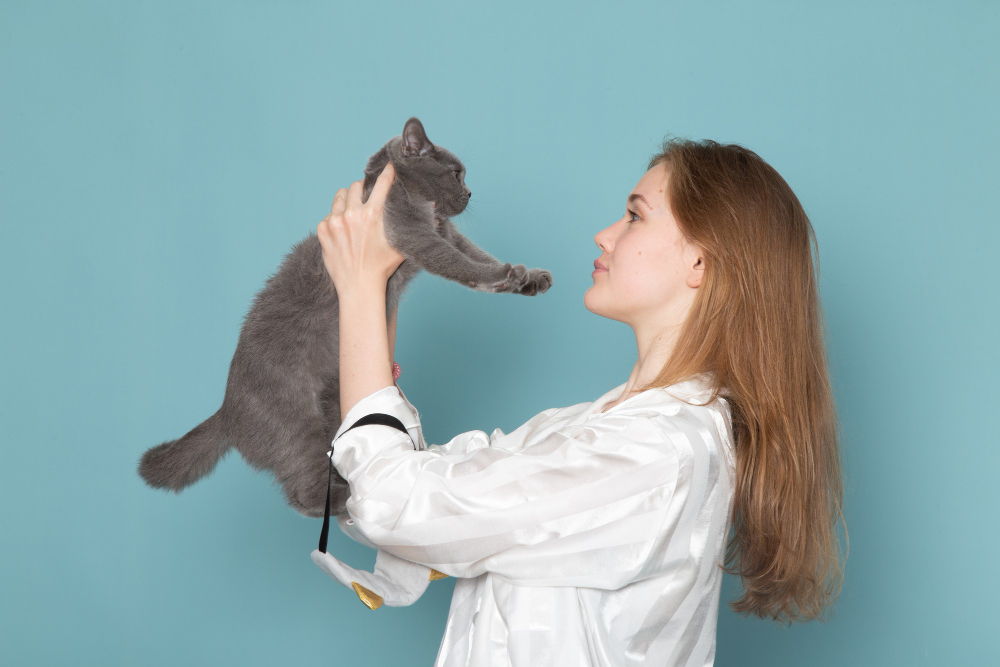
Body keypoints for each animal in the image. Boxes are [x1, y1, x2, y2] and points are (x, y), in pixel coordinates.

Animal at [139, 117, 556, 520]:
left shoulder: (444, 230)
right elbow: (461, 263)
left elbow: (475, 252)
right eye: (456, 173)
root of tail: (227, 410)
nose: (469, 193)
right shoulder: (414, 233)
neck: (409, 193)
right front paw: (504, 275)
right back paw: (349, 500)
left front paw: (528, 278)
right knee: (302, 491)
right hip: (297, 425)